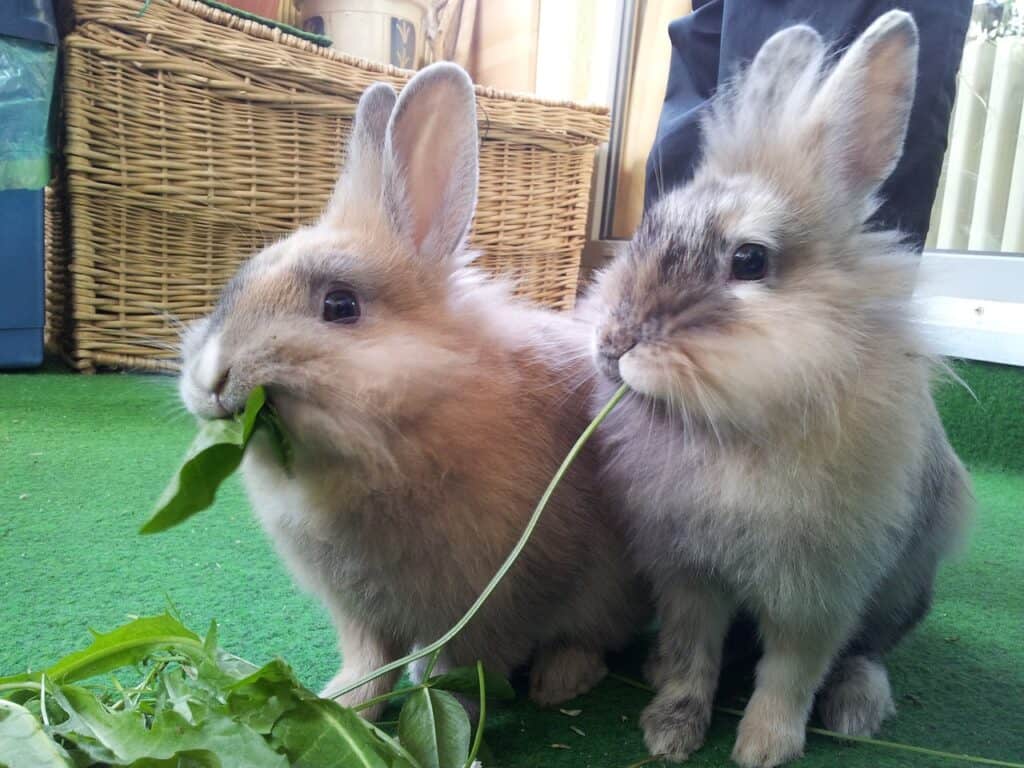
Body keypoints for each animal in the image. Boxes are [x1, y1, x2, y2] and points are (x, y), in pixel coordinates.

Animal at [175, 64, 638, 720]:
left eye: (341, 306)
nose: (212, 377)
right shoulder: (360, 614)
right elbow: (371, 665)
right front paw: (342, 706)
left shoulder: (493, 605)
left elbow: (463, 668)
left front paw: (445, 709)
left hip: (609, 588)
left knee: (593, 635)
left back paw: (560, 682)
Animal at [581, 13, 970, 768]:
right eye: (646, 230)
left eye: (750, 260)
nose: (614, 343)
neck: (731, 429)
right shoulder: (688, 575)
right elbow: (693, 655)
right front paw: (669, 729)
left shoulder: (818, 592)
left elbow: (791, 672)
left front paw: (764, 747)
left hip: (901, 589)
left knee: (869, 651)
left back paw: (856, 708)